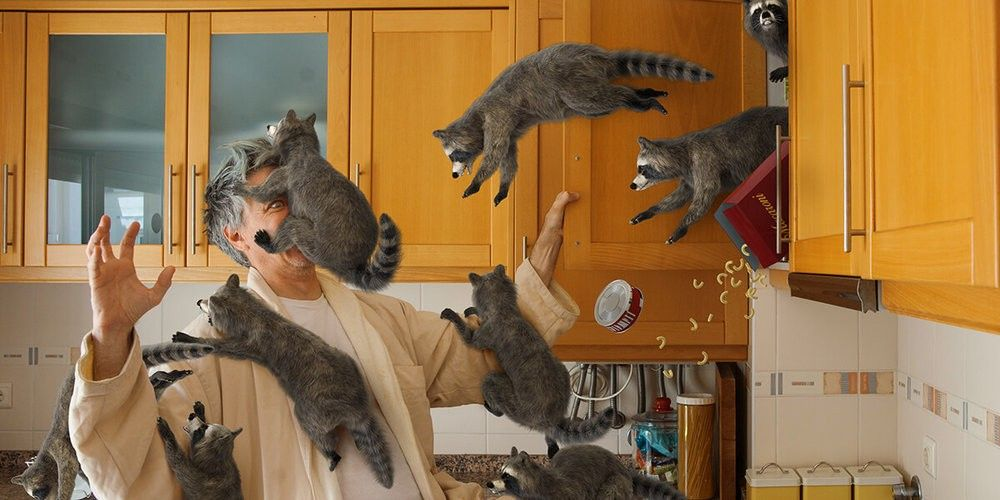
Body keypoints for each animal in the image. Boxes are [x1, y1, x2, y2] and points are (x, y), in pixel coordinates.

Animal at [434, 40, 716, 205]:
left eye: (453, 156)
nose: (454, 175)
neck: (474, 119)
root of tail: (594, 55)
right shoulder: (509, 129)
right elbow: (508, 157)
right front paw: (503, 187)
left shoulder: (497, 116)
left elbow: (494, 153)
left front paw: (477, 181)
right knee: (597, 104)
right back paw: (639, 94)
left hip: (570, 78)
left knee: (594, 101)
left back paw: (633, 99)